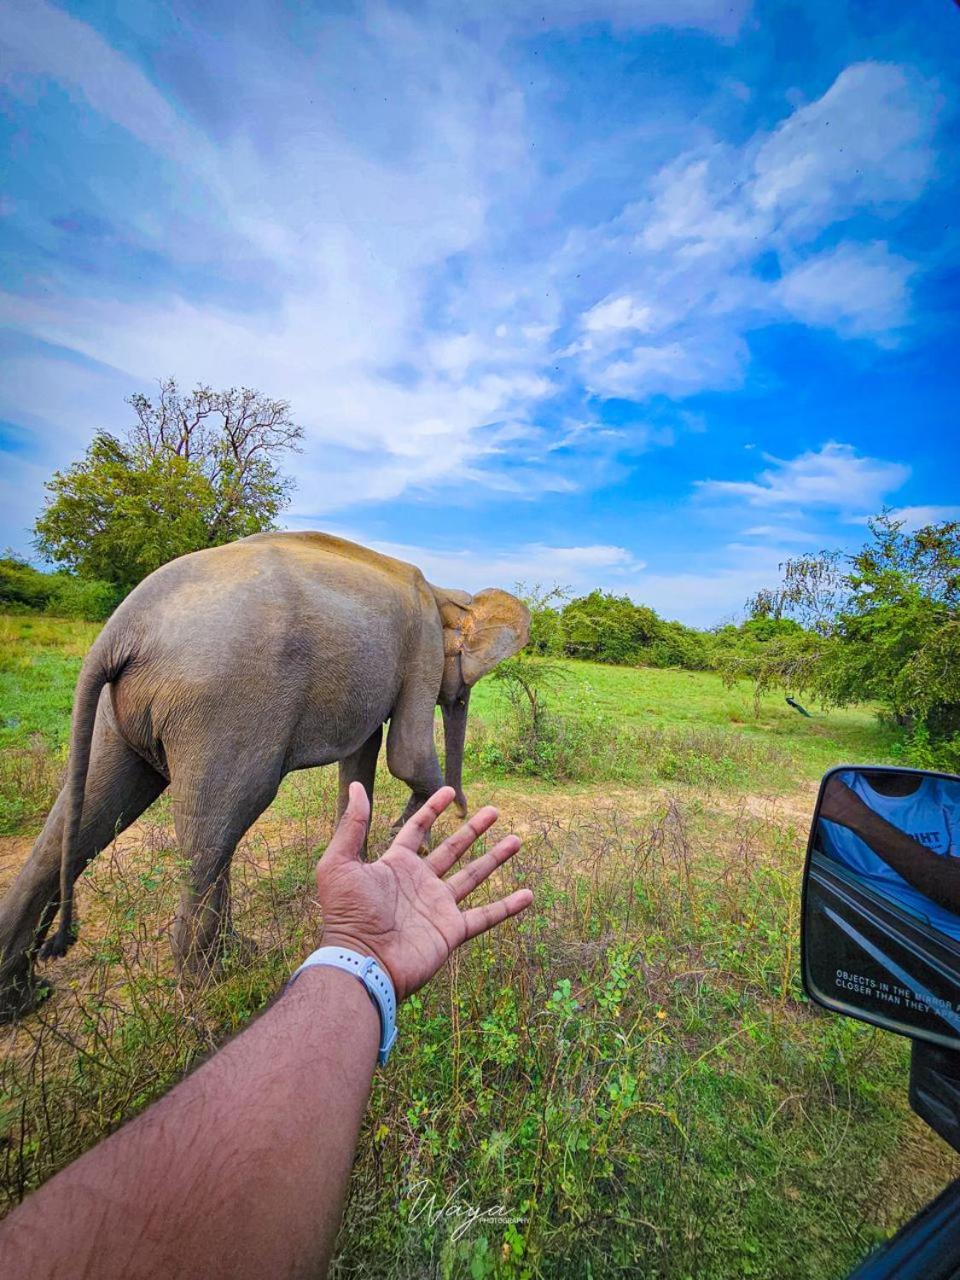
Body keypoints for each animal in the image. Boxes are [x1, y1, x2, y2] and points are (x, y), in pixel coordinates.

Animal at [0, 529, 529, 1018]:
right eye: (464, 688)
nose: (462, 809)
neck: (444, 591)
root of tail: (120, 631)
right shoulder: (421, 646)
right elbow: (408, 755)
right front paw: (409, 841)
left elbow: (363, 757)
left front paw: (367, 859)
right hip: (223, 701)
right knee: (219, 824)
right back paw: (215, 975)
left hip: (122, 713)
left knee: (83, 816)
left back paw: (23, 999)